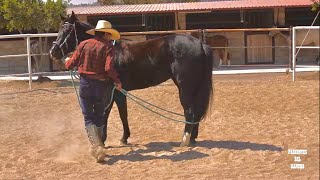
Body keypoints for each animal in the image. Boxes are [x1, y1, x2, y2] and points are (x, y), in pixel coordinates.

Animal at [48, 12, 214, 148]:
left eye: (67, 31)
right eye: (59, 29)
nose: (53, 52)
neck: (110, 52)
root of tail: (200, 44)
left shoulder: (112, 92)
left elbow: (108, 113)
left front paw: (105, 139)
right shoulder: (120, 92)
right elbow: (123, 113)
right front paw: (124, 138)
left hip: (185, 87)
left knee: (190, 111)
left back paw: (184, 140)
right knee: (196, 110)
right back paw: (192, 138)